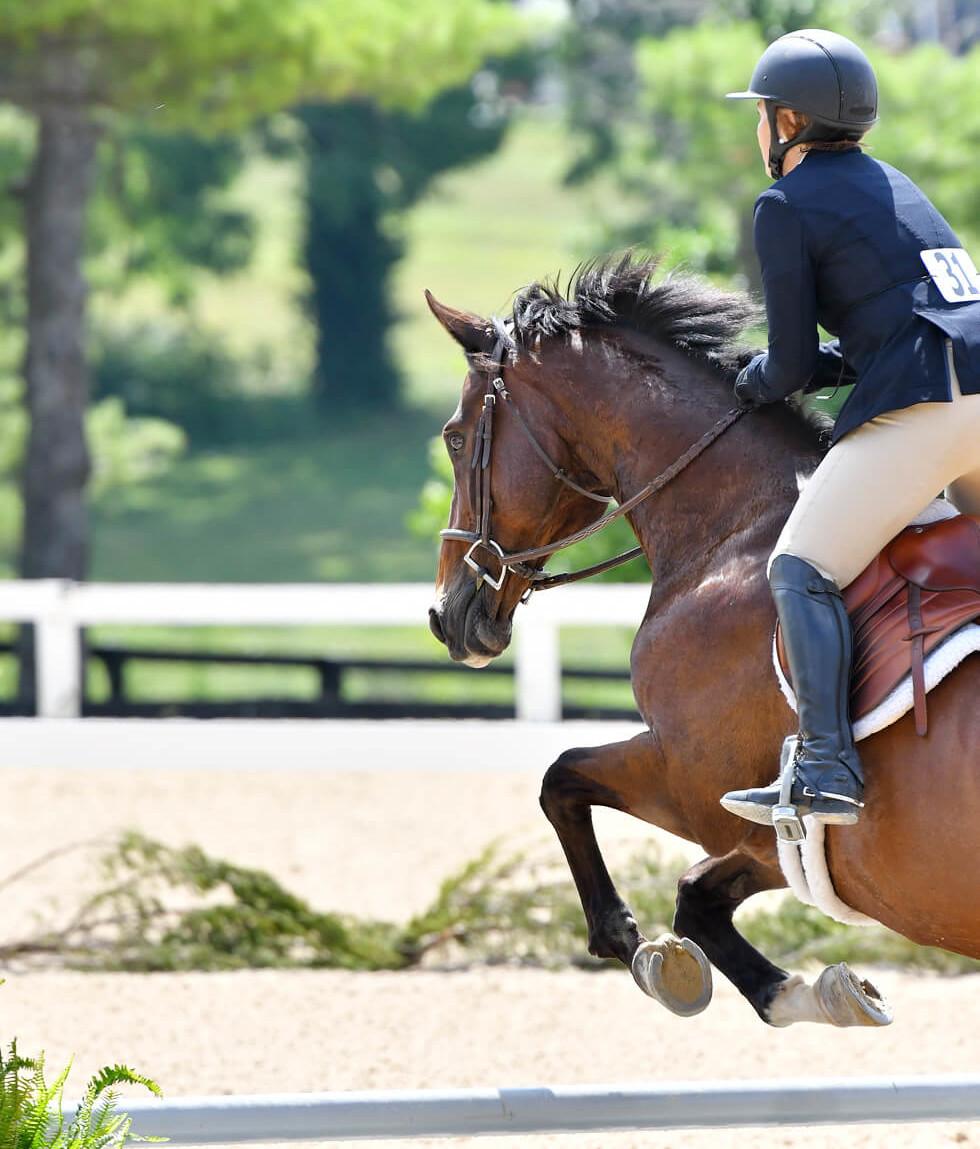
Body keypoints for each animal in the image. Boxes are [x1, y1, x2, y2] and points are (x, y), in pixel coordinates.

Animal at [427, 256, 978, 1029]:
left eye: (454, 436)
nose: (445, 615)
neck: (734, 525)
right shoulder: (774, 836)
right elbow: (686, 886)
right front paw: (815, 990)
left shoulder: (696, 784)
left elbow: (566, 783)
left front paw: (638, 947)